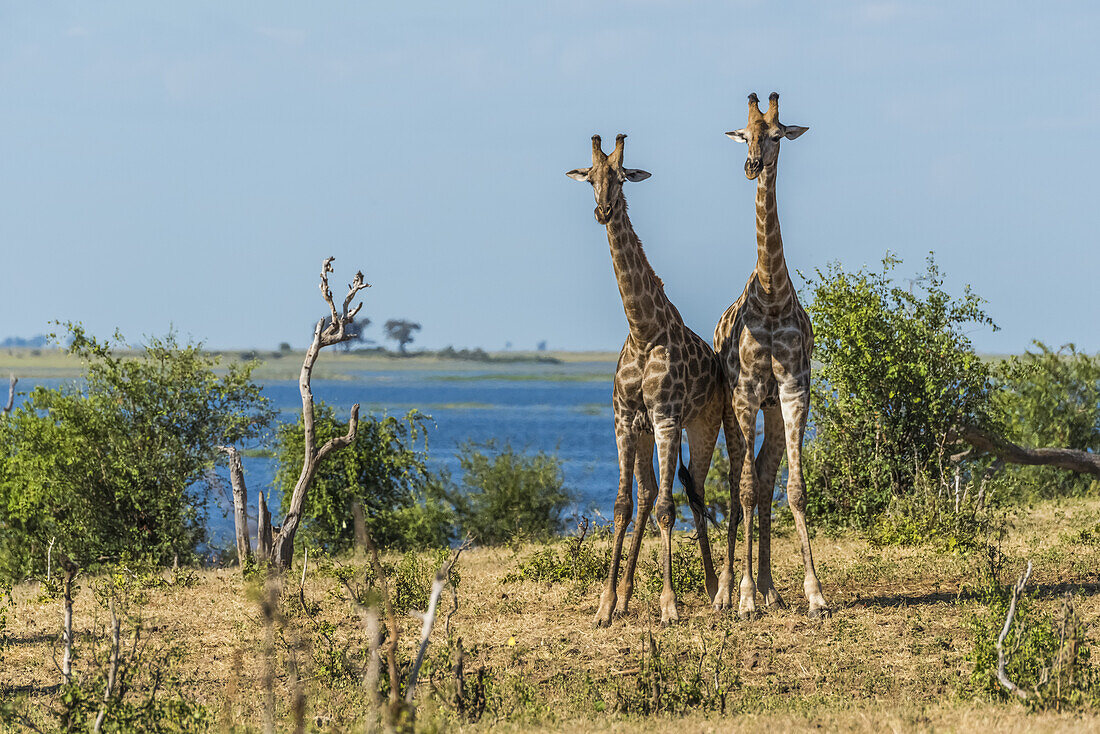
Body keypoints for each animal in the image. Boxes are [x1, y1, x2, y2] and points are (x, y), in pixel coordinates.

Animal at [567, 133, 730, 625]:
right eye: (591, 177)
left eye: (622, 177)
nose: (603, 210)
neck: (642, 331)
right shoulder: (625, 421)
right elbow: (623, 506)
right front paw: (604, 605)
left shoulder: (666, 418)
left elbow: (666, 508)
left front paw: (669, 606)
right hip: (645, 433)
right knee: (647, 495)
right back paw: (624, 596)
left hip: (702, 425)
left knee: (693, 493)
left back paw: (713, 589)